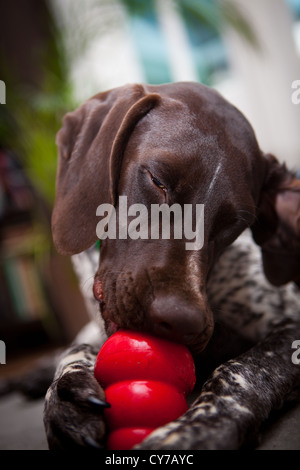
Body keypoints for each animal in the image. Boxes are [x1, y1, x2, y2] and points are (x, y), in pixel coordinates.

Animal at [44, 82, 300, 450]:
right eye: (157, 180)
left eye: (236, 224)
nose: (182, 321)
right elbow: (73, 347)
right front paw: (65, 392)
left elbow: (243, 370)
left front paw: (197, 429)